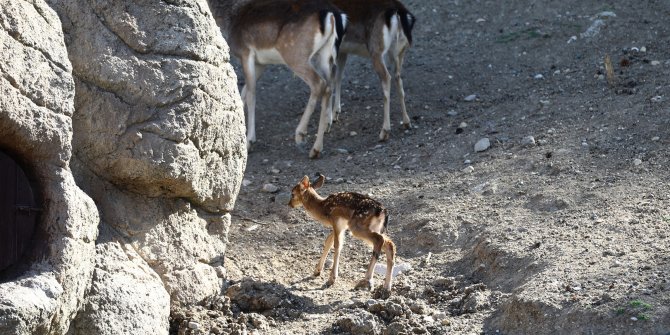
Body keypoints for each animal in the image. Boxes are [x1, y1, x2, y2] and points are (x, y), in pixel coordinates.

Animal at [209, 0, 346, 159]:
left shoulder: (246, 52)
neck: (230, 17)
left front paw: (249, 142)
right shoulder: (261, 63)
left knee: (319, 84)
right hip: (325, 55)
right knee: (329, 86)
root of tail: (332, 16)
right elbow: (242, 94)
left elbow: (251, 96)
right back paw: (316, 148)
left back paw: (300, 134)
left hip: (295, 54)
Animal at [330, 0, 414, 142]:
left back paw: (384, 132)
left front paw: (328, 121)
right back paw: (406, 122)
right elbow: (338, 77)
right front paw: (335, 113)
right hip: (399, 51)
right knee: (398, 78)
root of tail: (397, 11)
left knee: (386, 78)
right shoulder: (342, 51)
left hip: (377, 51)